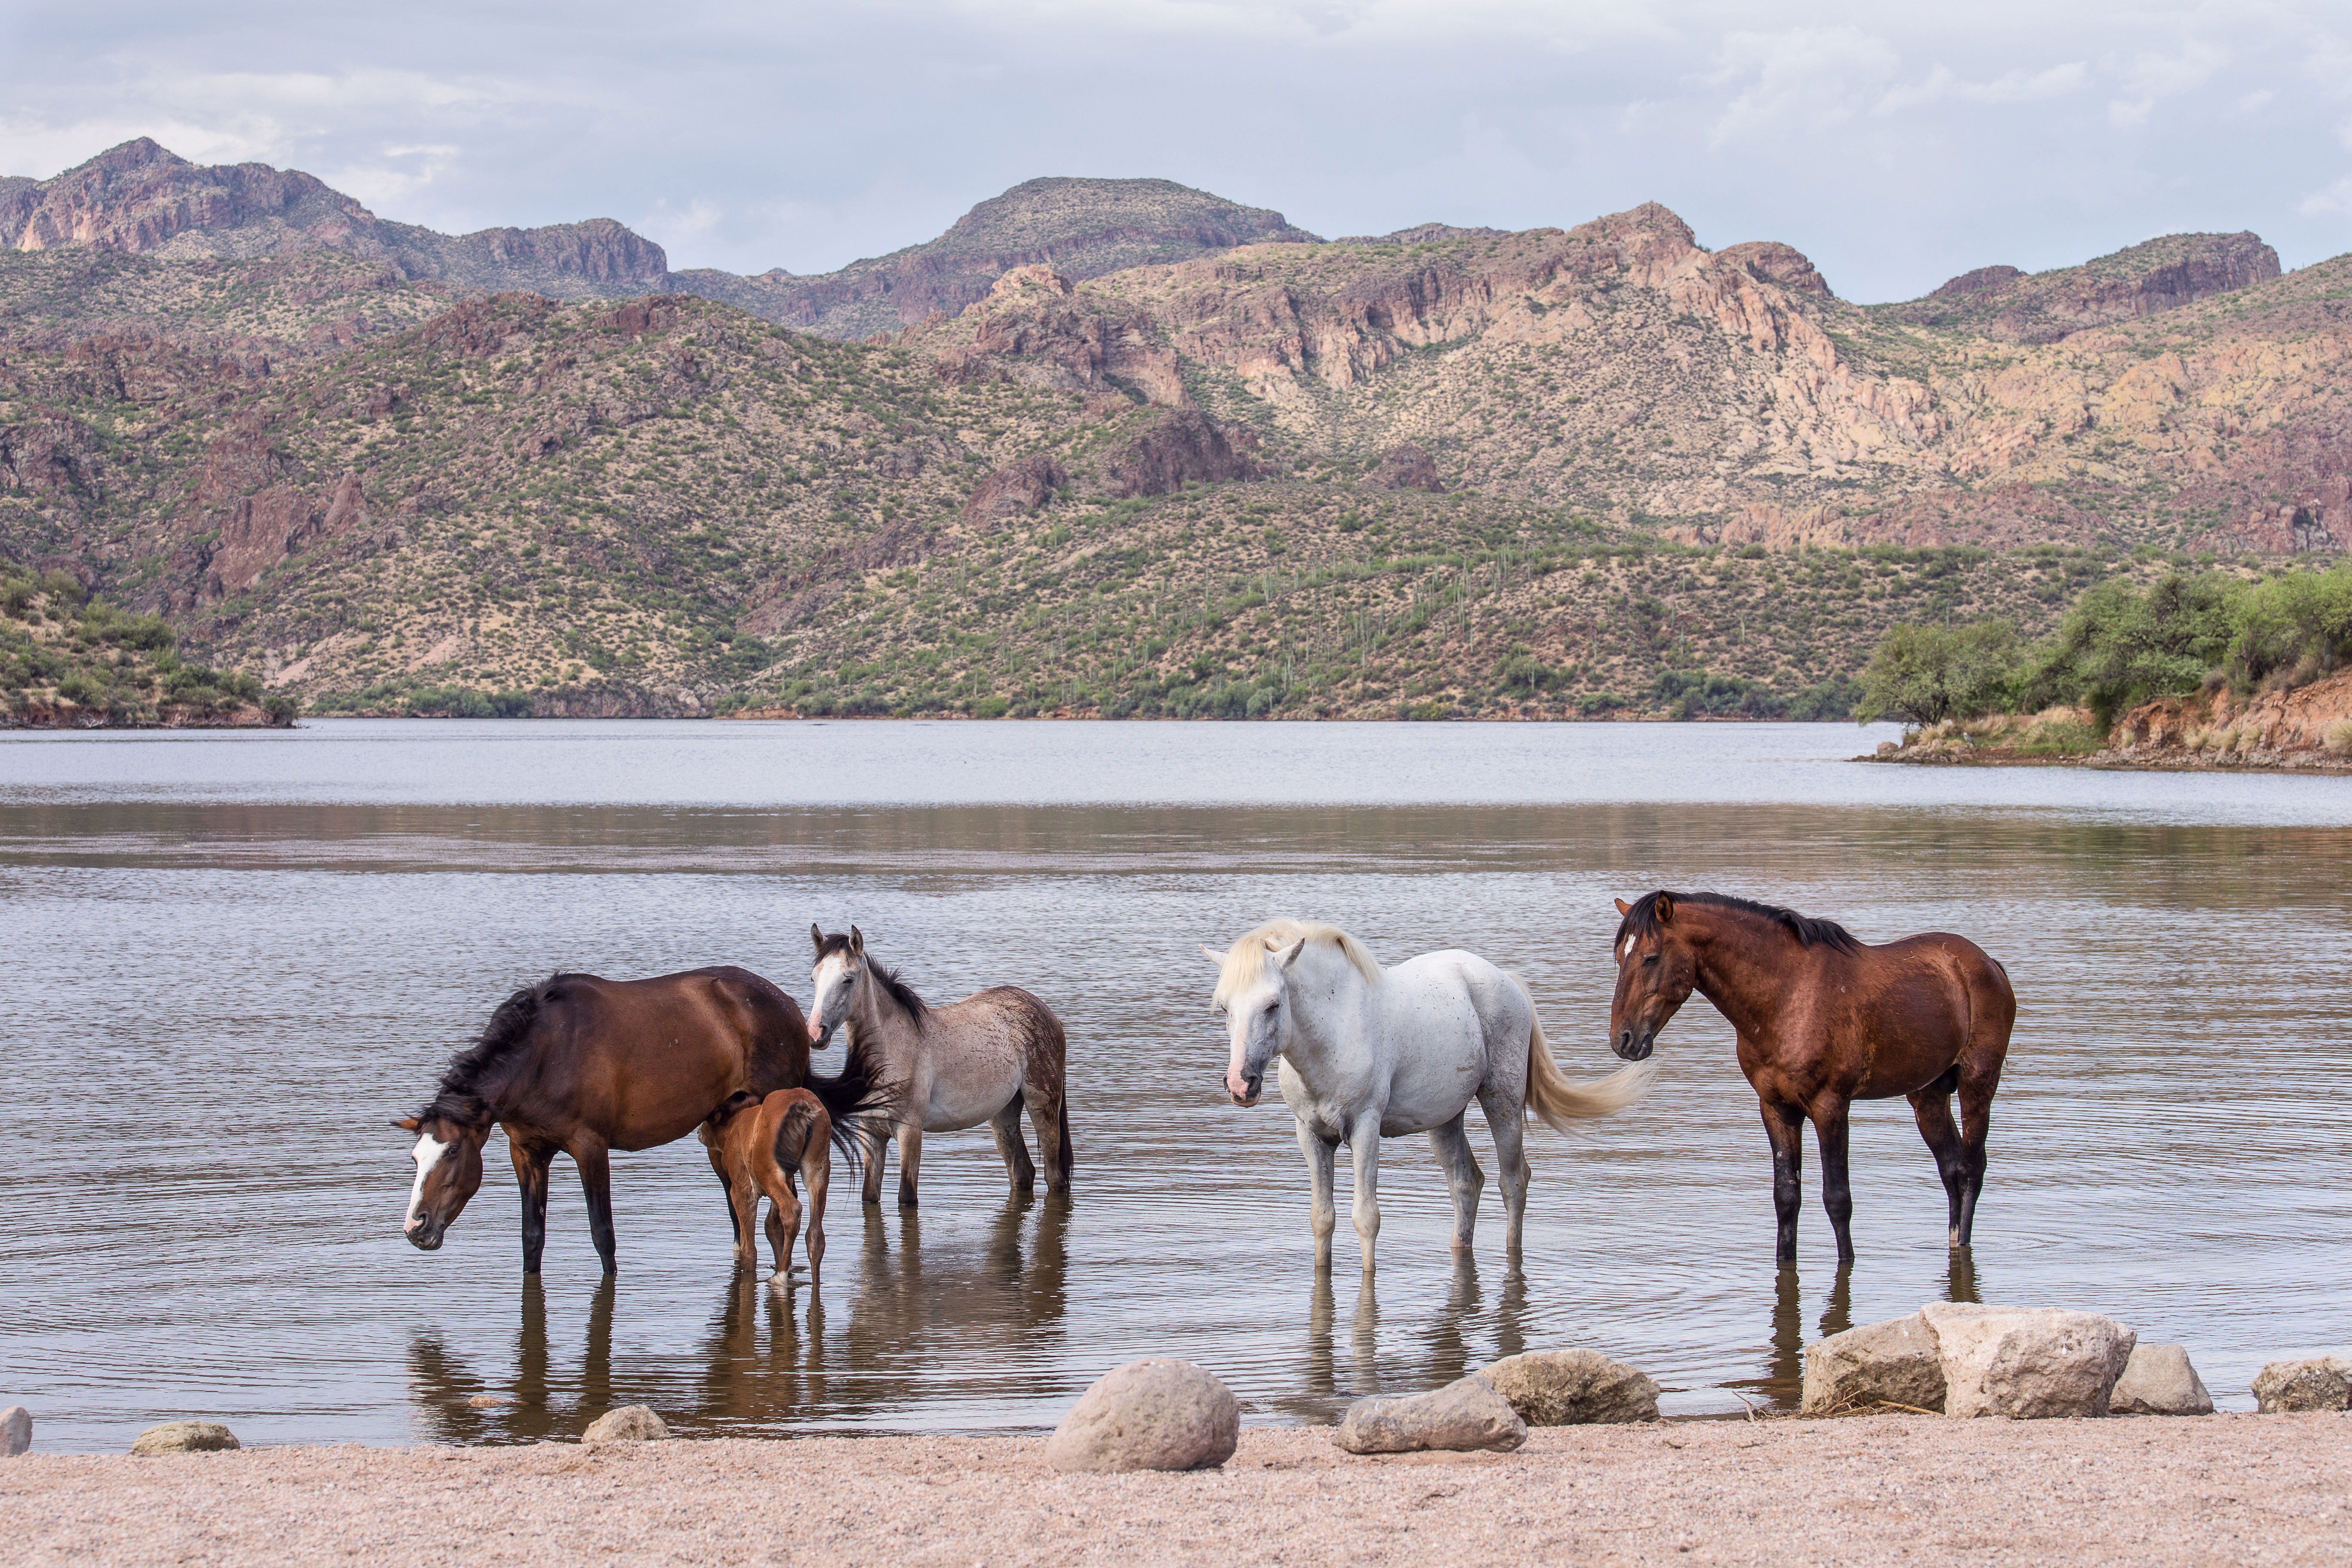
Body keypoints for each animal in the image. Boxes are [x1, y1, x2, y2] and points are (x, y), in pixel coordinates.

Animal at [701, 1086, 842, 1298]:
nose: (699, 1131)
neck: (735, 1125)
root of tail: (804, 1106)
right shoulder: (788, 1179)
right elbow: (772, 1226)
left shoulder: (742, 1188)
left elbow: (749, 1249)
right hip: (818, 1166)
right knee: (815, 1233)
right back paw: (811, 1282)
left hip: (767, 1169)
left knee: (792, 1210)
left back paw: (780, 1277)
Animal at [804, 926, 1072, 1213]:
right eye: (814, 978)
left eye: (848, 979)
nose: (816, 1033)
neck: (891, 1050)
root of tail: (1046, 1012)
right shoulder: (870, 1134)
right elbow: (869, 1196)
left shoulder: (910, 1132)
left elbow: (907, 1197)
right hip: (1004, 1113)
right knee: (1022, 1172)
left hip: (1042, 1106)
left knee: (1054, 1176)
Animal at [1213, 921, 1656, 1279]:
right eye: (1225, 1008)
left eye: (1273, 1005)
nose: (1241, 1084)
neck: (1333, 1031)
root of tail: (1507, 980)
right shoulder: (1312, 1136)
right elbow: (1322, 1219)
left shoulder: (1365, 1128)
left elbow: (1366, 1218)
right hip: (1446, 1118)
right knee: (1466, 1184)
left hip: (1503, 1101)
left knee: (1513, 1182)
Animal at [1608, 888, 2013, 1269]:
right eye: (1619, 958)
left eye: (1651, 957)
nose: (1623, 1039)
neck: (1785, 998)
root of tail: (1988, 965)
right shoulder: (1777, 1108)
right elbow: (1787, 1197)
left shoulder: (1830, 1106)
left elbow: (1838, 1199)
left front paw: (1846, 1263)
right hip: (1928, 1095)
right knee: (1951, 1168)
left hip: (1978, 1082)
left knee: (1971, 1168)